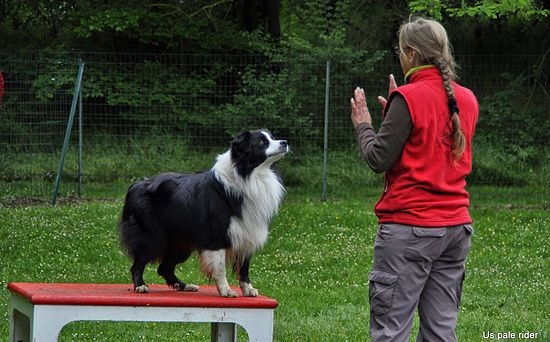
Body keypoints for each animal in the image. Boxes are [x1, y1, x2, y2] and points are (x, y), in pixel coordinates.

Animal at [119, 129, 292, 296]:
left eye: (272, 137)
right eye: (262, 142)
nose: (284, 142)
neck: (249, 175)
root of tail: (135, 185)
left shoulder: (247, 232)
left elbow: (244, 267)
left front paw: (248, 289)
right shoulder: (216, 236)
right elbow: (220, 267)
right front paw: (226, 290)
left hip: (181, 242)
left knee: (164, 268)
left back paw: (184, 286)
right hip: (151, 236)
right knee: (137, 265)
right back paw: (140, 286)